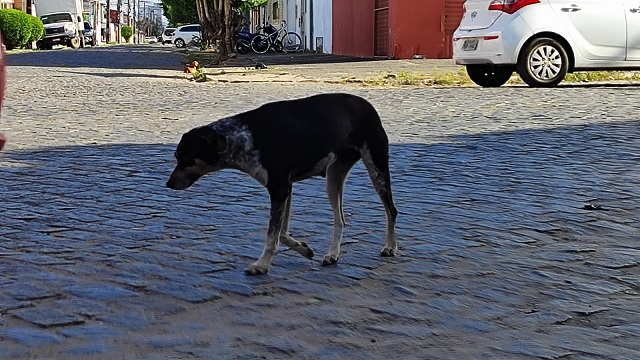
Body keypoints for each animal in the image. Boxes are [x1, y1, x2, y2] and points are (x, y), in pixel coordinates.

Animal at [169, 93, 400, 276]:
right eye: (176, 156)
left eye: (185, 158)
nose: (168, 184)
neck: (244, 138)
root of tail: (367, 104)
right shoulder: (285, 189)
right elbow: (281, 232)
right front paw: (304, 248)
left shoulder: (280, 190)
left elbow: (272, 235)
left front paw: (261, 265)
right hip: (334, 177)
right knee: (340, 219)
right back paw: (332, 254)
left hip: (377, 169)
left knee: (391, 211)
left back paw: (390, 247)